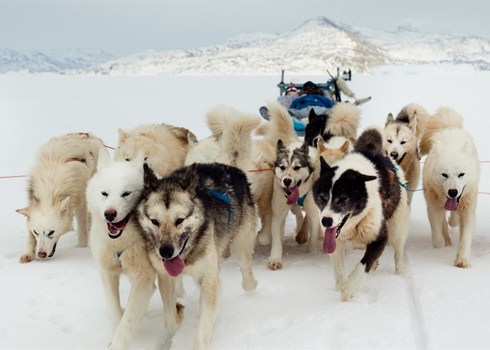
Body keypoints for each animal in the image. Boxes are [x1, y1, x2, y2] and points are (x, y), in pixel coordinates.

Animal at [17, 132, 105, 262]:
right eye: (36, 232)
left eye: (51, 232)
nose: (41, 254)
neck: (51, 185)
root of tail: (89, 135)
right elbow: (29, 234)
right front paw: (27, 253)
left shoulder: (80, 203)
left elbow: (82, 229)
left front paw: (81, 248)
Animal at [420, 108, 480, 266]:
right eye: (444, 175)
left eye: (461, 174)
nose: (453, 192)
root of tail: (449, 128)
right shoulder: (433, 207)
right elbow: (436, 234)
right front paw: (440, 246)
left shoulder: (468, 209)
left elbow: (465, 237)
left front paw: (462, 260)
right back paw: (446, 238)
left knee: (452, 219)